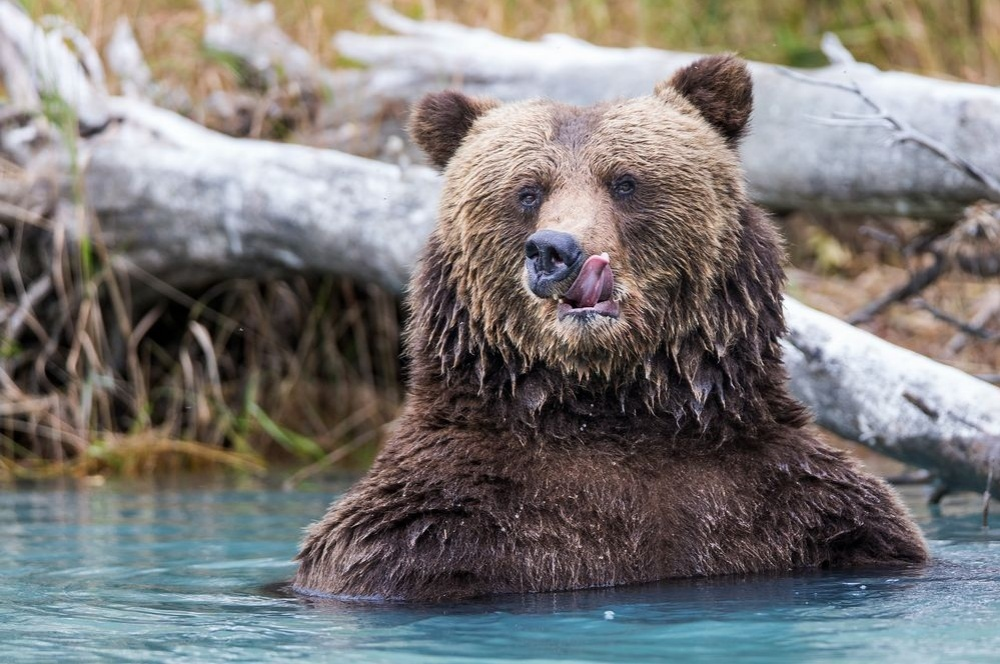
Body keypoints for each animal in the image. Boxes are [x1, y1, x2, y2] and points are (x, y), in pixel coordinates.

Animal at [292, 53, 924, 600]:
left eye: (625, 181)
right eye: (527, 192)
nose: (555, 250)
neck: (610, 405)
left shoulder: (807, 510)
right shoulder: (420, 532)